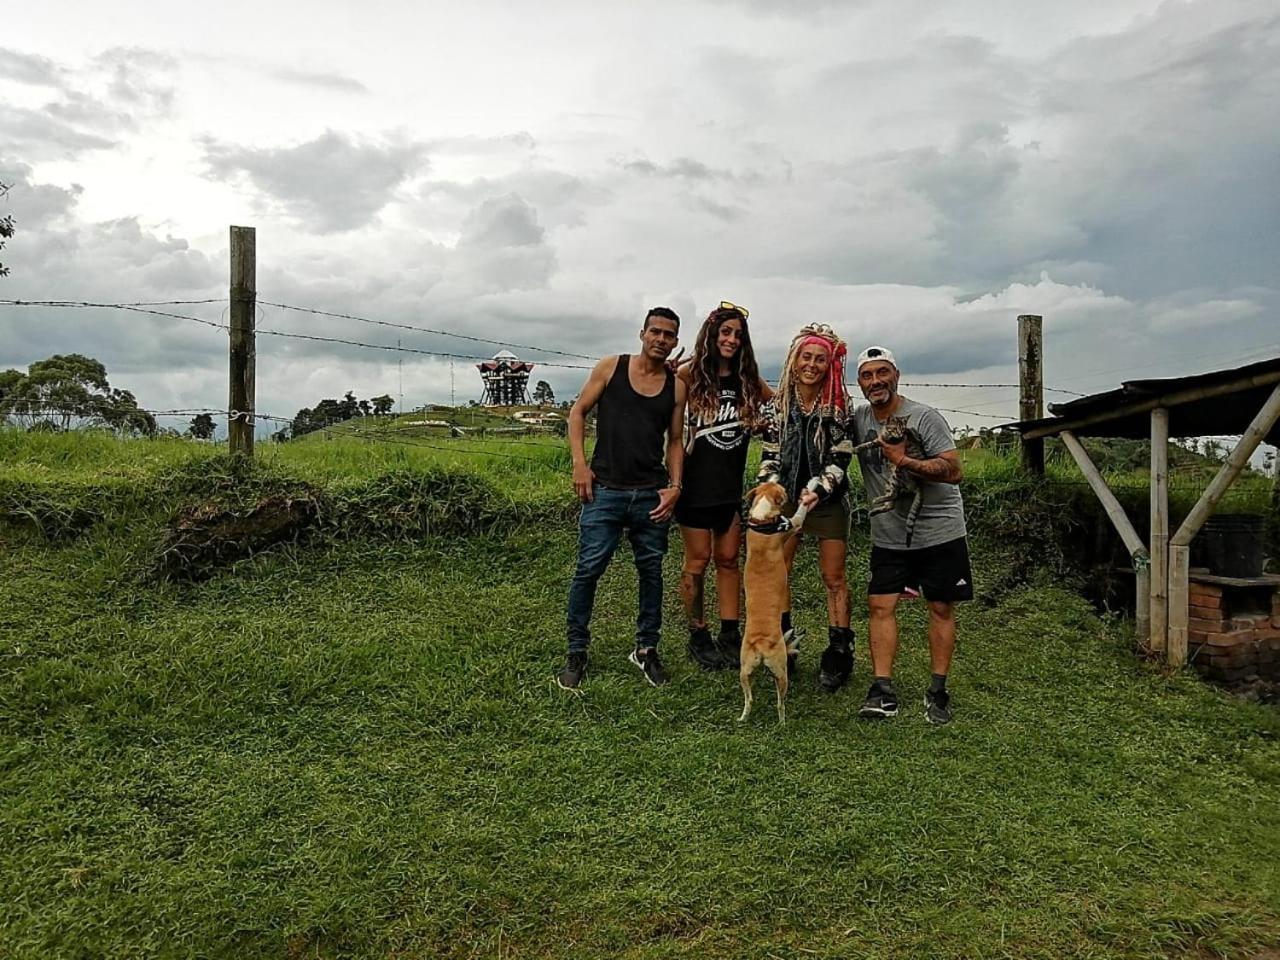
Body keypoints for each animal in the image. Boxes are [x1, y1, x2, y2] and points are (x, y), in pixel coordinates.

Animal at [742, 483, 808, 727]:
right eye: (783, 490)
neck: (762, 520)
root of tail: (761, 643)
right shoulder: (792, 524)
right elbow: (800, 515)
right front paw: (806, 498)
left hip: (744, 670)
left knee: (749, 699)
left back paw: (743, 718)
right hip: (781, 671)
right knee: (780, 702)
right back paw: (782, 722)